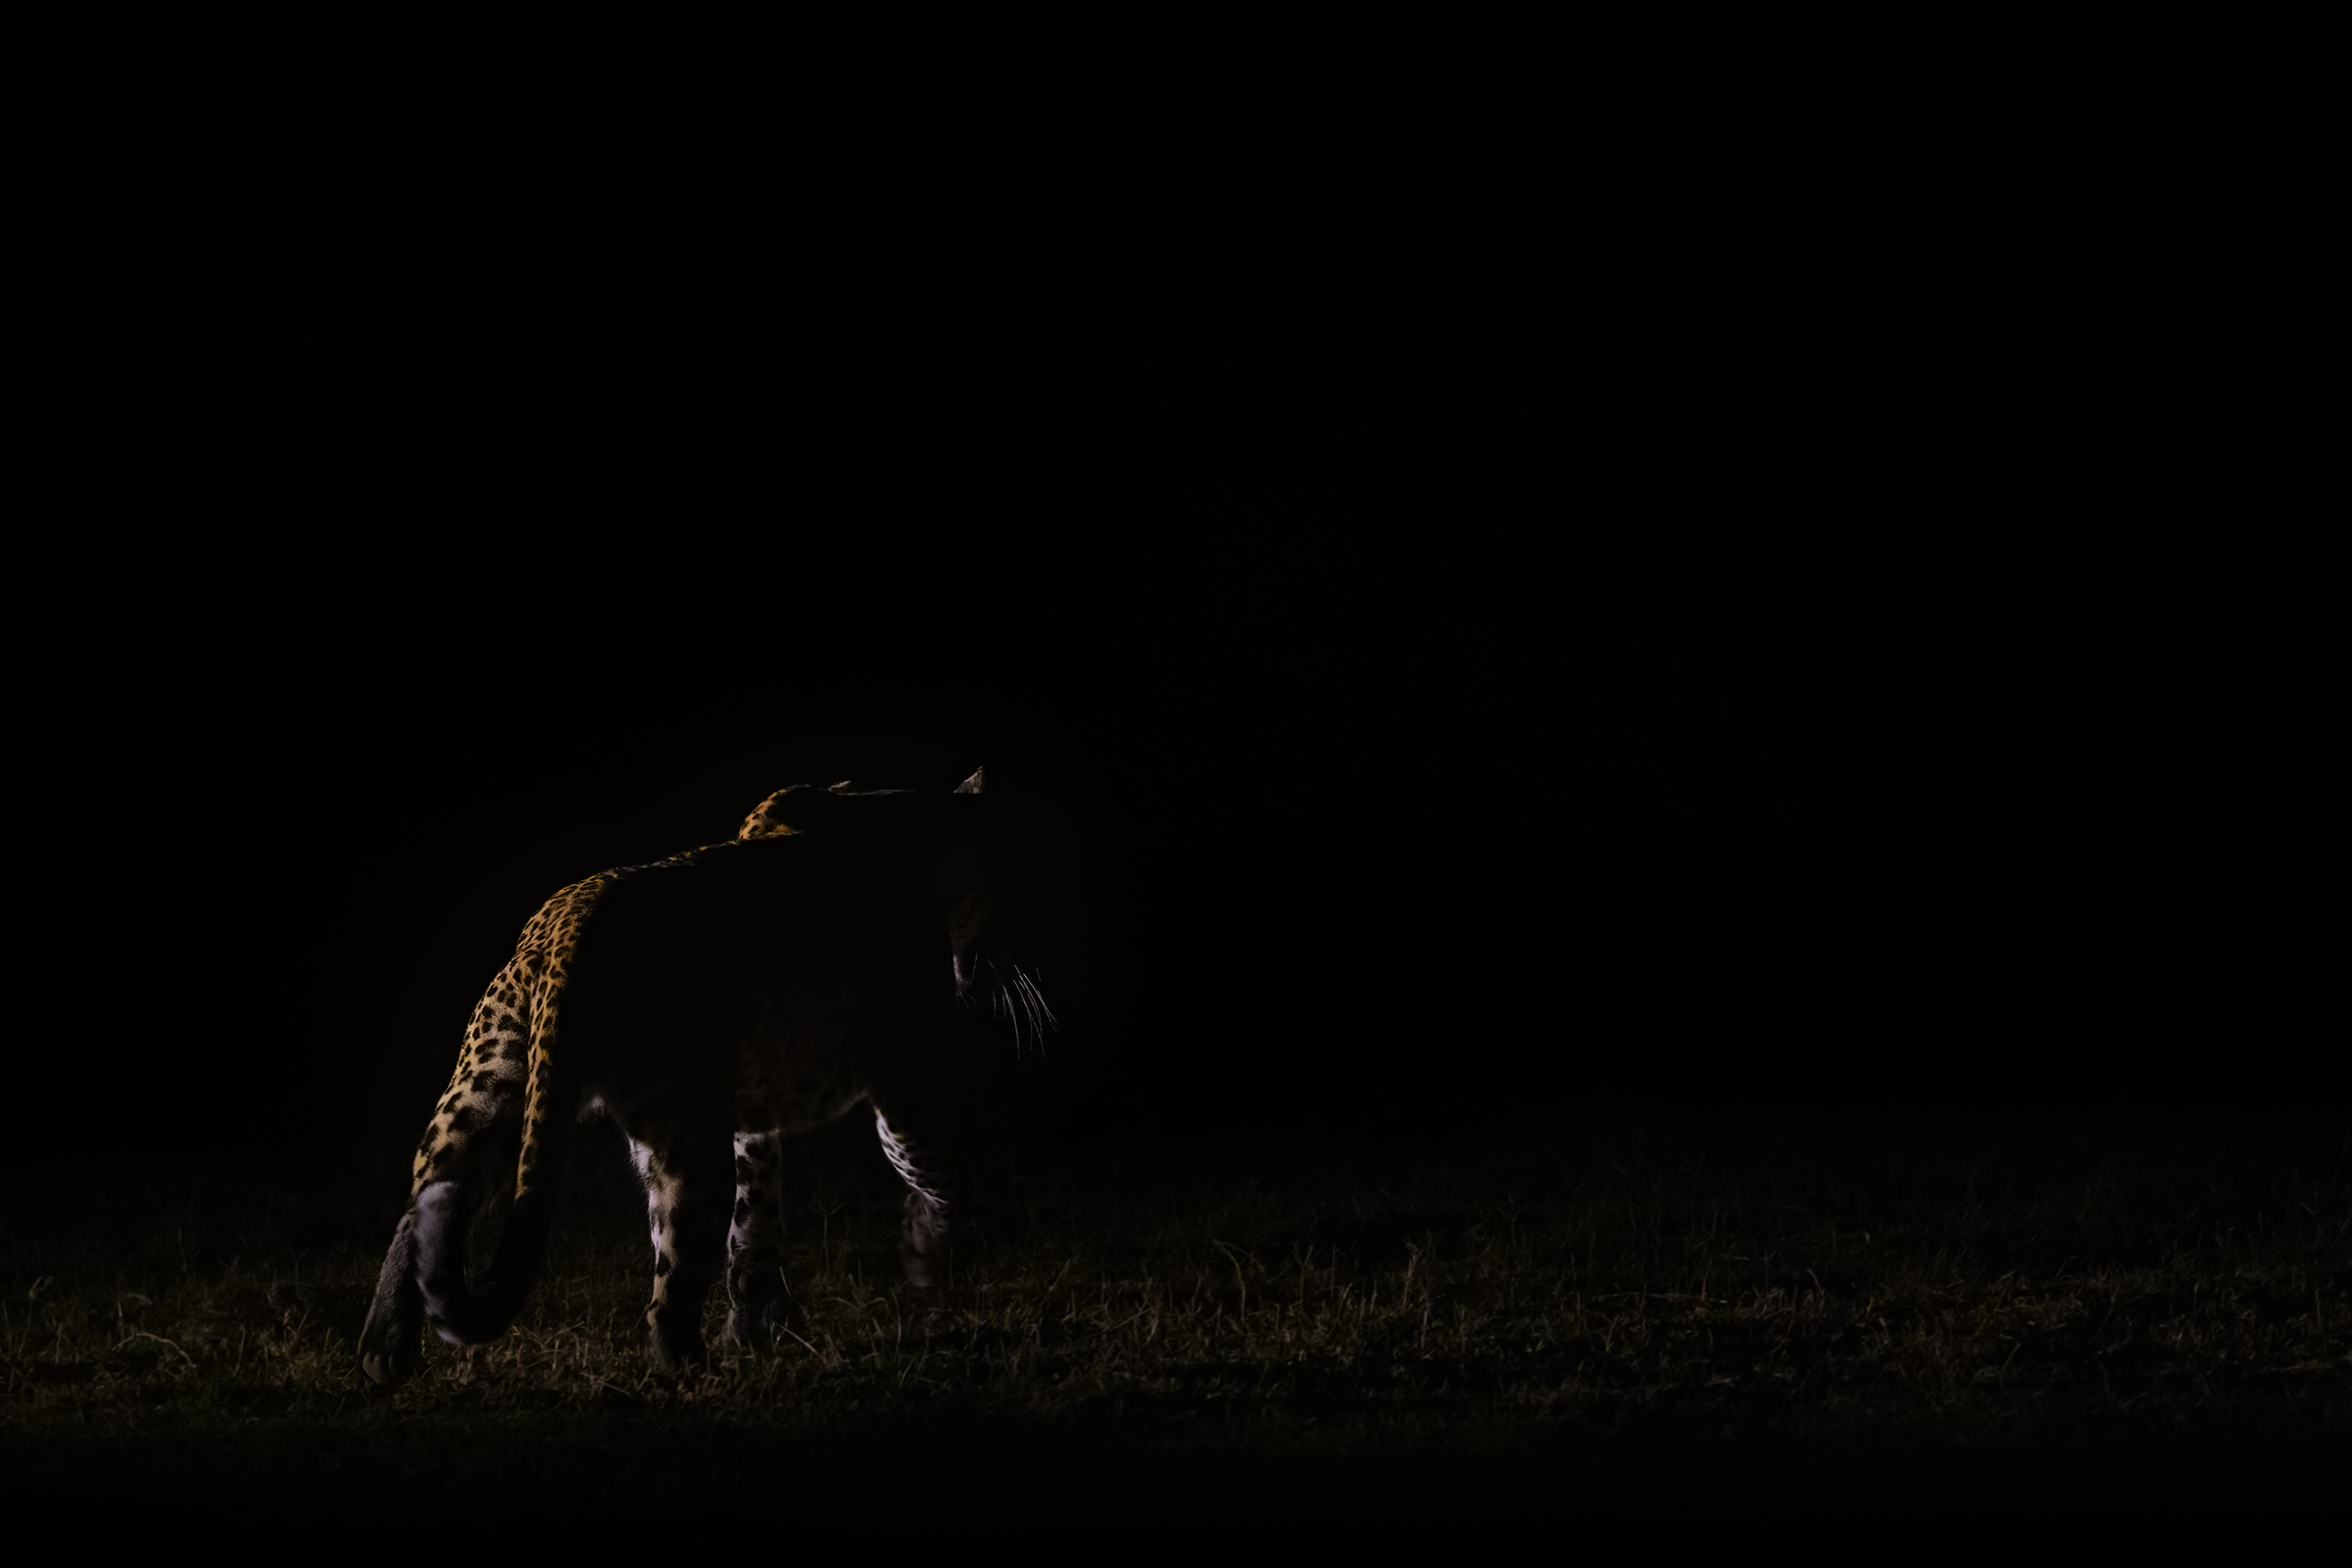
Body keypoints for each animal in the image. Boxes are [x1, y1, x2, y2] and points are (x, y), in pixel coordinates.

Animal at [356, 767, 1053, 1387]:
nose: (1011, 947)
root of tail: (568, 930)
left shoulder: (752, 1110)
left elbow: (759, 1210)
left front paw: (761, 1318)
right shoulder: (908, 1091)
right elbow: (942, 1173)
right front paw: (927, 1255)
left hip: (484, 1093)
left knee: (424, 1208)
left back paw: (384, 1351)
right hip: (685, 1148)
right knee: (668, 1288)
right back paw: (691, 1370)